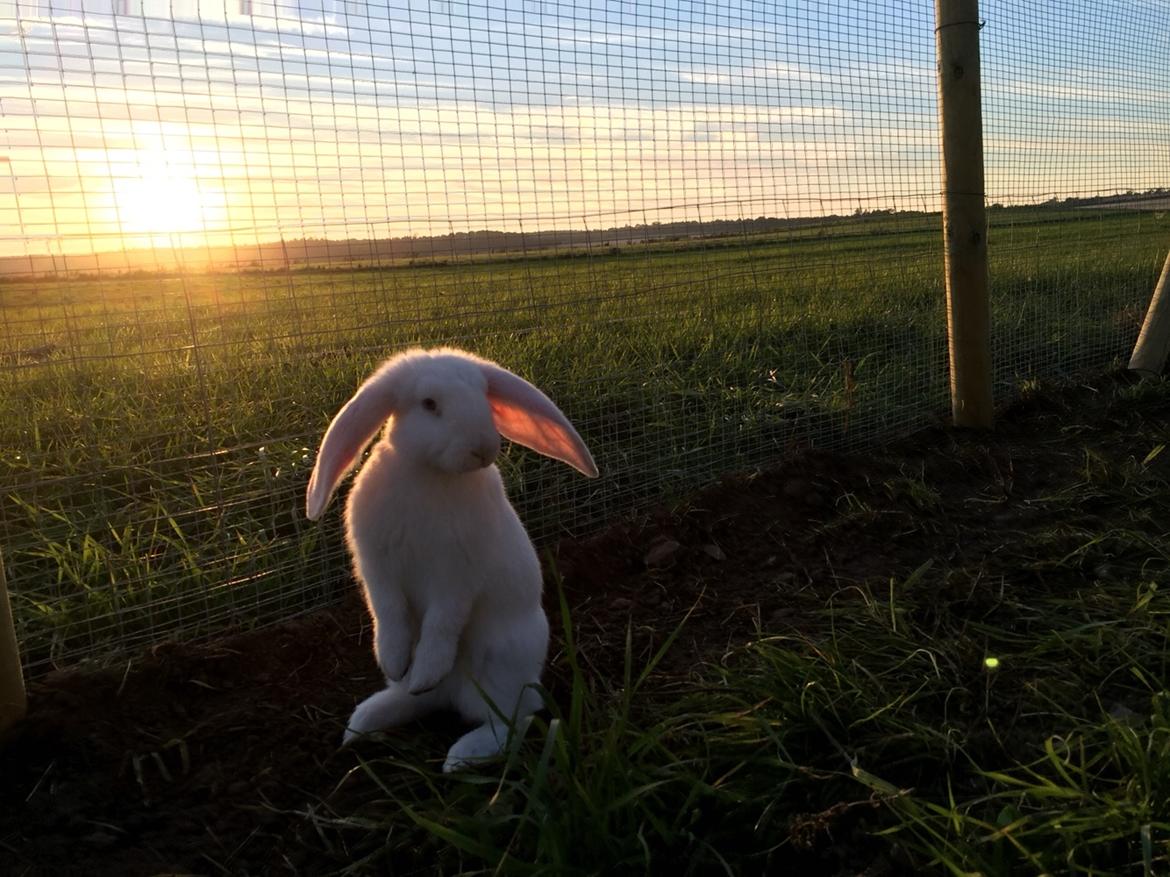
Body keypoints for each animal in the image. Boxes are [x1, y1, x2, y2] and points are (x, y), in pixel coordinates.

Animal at [306, 346, 599, 771]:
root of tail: (453, 694)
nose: (483, 448)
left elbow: (442, 624)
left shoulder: (457, 577)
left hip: (501, 666)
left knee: (516, 721)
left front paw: (427, 669)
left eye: (483, 394)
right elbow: (388, 613)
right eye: (429, 404)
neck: (430, 474)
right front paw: (393, 659)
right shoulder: (376, 567)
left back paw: (460, 755)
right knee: (418, 699)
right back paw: (368, 719)